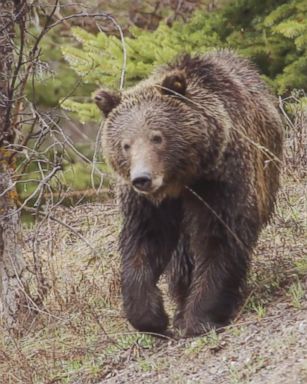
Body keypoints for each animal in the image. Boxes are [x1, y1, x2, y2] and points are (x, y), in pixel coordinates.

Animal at [94, 49, 284, 334]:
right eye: (126, 144)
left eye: (157, 137)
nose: (142, 179)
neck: (180, 181)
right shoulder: (148, 205)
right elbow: (143, 243)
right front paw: (151, 316)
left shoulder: (218, 182)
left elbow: (218, 238)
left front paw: (199, 316)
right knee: (181, 256)